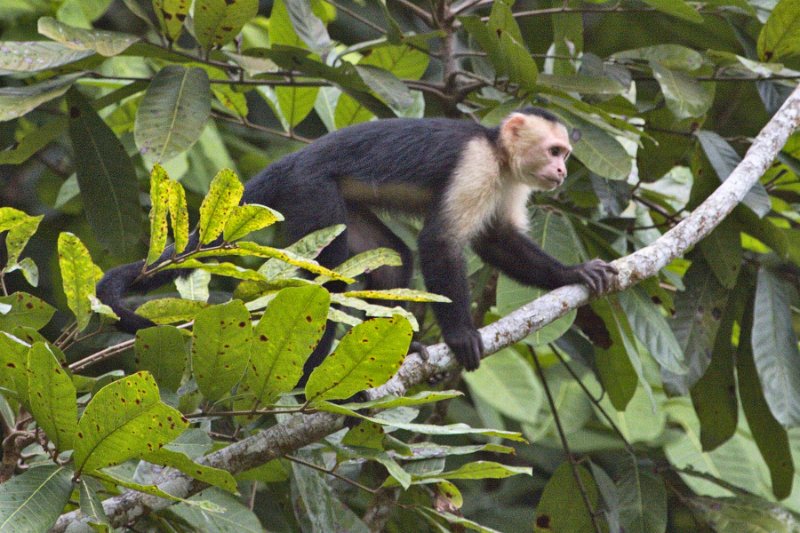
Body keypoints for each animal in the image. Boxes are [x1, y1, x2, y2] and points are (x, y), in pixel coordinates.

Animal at [95, 108, 620, 374]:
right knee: (321, 286)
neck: (498, 153)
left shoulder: (510, 183)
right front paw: (458, 334)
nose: (561, 172)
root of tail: (292, 160)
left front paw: (573, 272)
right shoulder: (475, 164)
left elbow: (499, 241)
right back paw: (304, 384)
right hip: (309, 192)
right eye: (555, 151)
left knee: (392, 259)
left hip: (342, 207)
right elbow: (441, 242)